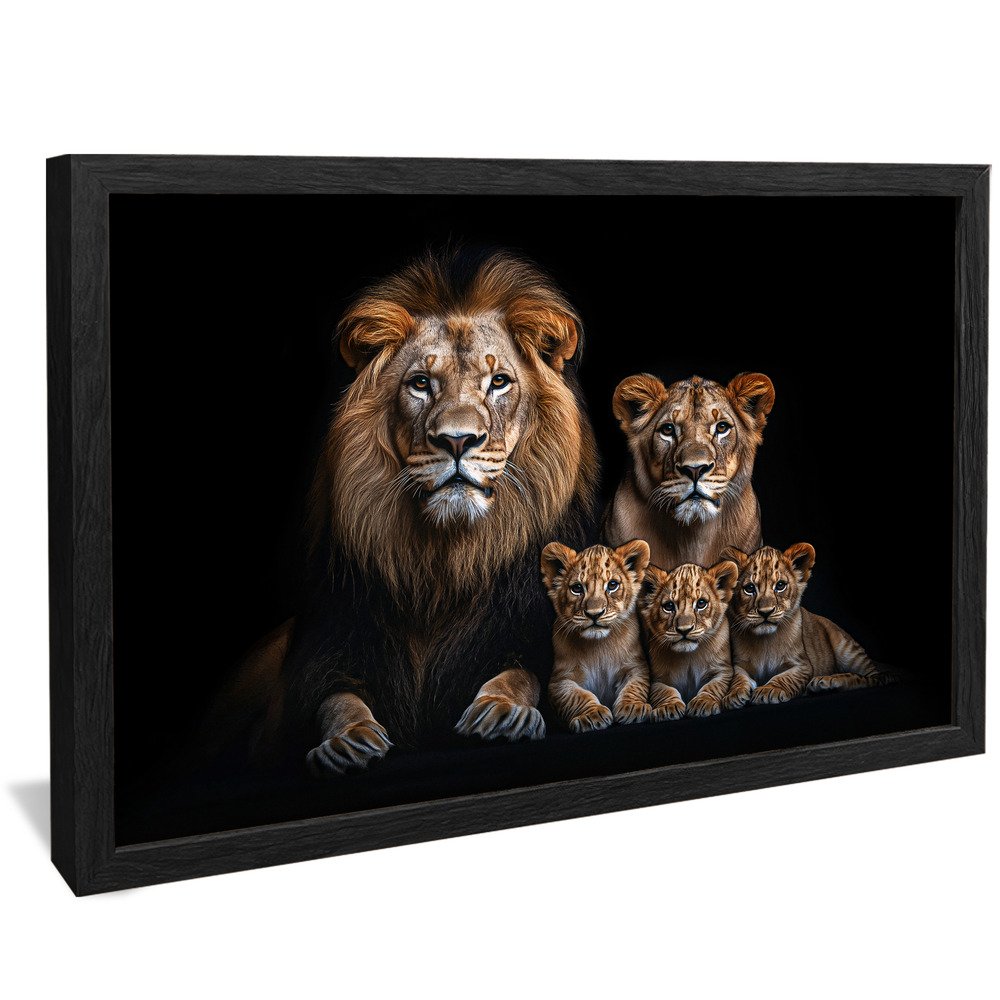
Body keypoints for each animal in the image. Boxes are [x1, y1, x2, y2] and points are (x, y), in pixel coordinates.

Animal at [268, 248, 600, 775]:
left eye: (498, 382)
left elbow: (522, 673)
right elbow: (335, 700)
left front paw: (500, 710)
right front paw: (348, 740)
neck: (442, 567)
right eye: (421, 383)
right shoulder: (331, 639)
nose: (457, 440)